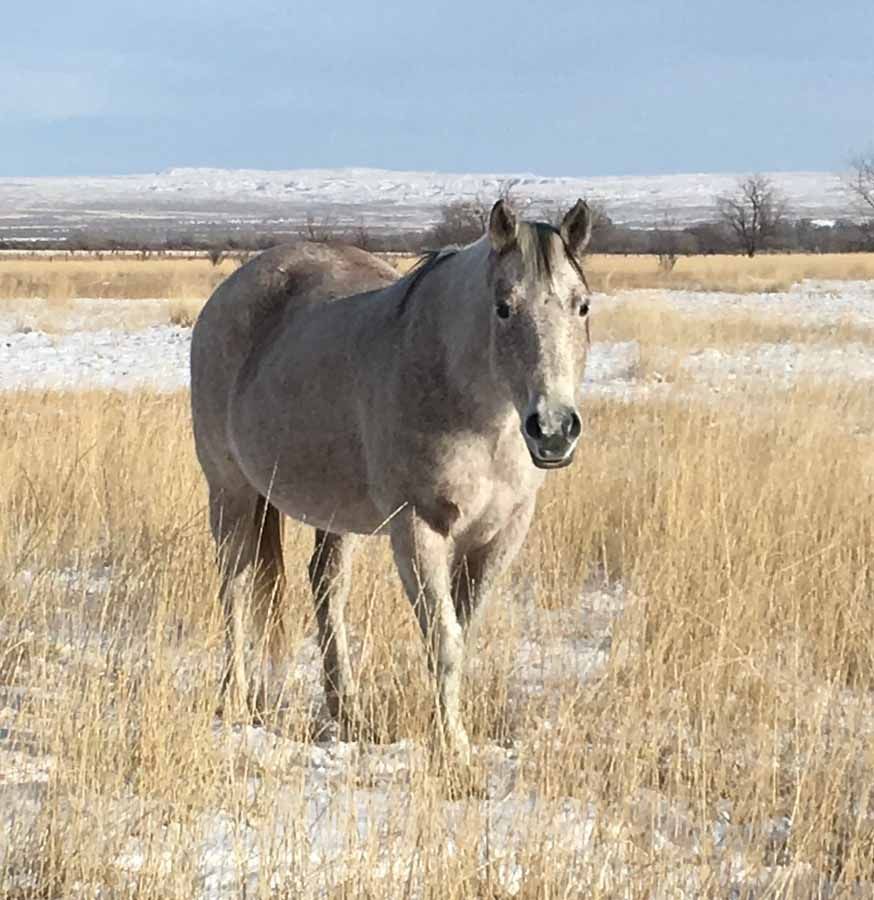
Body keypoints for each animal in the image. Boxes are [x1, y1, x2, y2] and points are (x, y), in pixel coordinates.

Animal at [190, 199, 592, 763]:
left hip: (334, 512)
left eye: (582, 307)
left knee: (326, 587)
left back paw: (346, 711)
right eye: (504, 308)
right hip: (230, 492)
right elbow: (443, 638)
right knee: (237, 587)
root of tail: (231, 291)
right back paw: (235, 699)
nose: (553, 429)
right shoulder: (418, 528)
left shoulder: (501, 535)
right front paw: (453, 747)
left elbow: (461, 631)